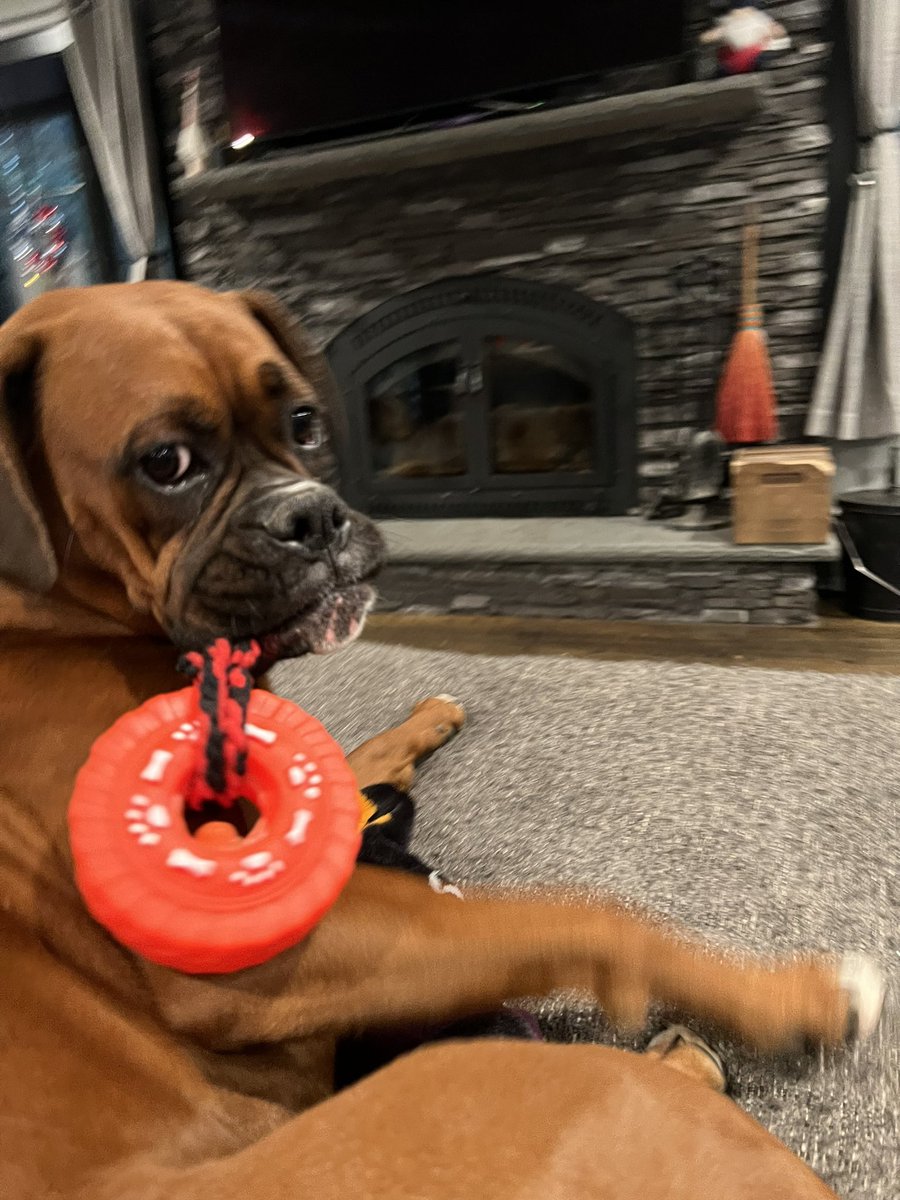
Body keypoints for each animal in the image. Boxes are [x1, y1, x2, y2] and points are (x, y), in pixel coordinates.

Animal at [0, 283, 888, 1200]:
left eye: (305, 421)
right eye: (167, 462)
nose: (311, 515)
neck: (58, 619)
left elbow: (357, 756)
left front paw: (429, 714)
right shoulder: (253, 959)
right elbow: (578, 917)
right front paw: (796, 1000)